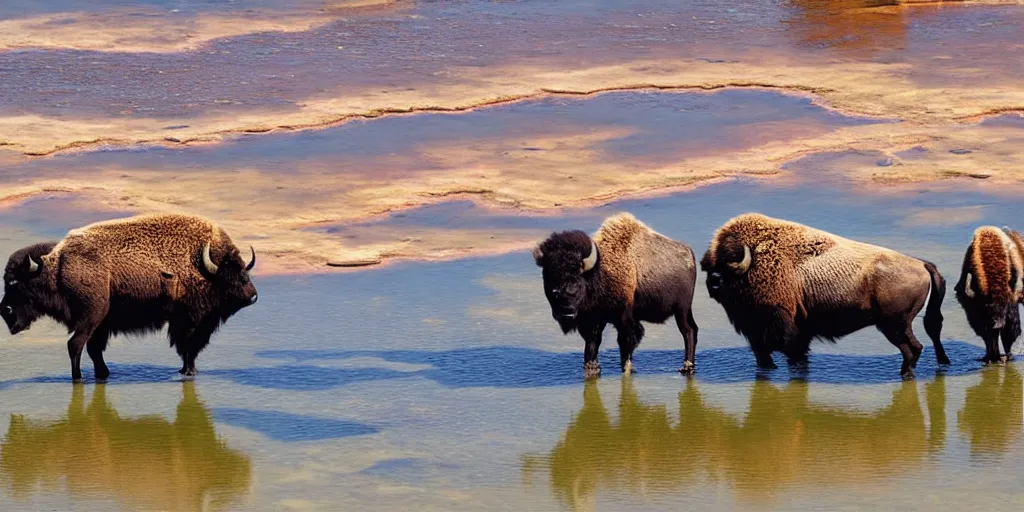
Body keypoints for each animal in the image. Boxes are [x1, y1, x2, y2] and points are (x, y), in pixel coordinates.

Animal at [1, 214, 256, 382]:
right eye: (233, 278)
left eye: (245, 273)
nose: (253, 296)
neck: (202, 265)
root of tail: (58, 258)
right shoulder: (190, 320)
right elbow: (188, 347)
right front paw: (189, 372)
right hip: (92, 317)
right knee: (76, 345)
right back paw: (79, 378)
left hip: (100, 321)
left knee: (91, 348)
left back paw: (102, 375)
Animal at [532, 210, 700, 376]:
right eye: (549, 280)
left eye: (578, 280)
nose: (566, 313)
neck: (600, 271)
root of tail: (689, 255)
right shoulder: (593, 320)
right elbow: (592, 344)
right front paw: (592, 369)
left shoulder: (624, 320)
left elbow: (625, 345)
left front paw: (626, 370)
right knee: (693, 329)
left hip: (681, 310)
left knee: (687, 331)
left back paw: (686, 368)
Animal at [700, 212, 946, 380]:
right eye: (708, 264)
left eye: (729, 258)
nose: (713, 281)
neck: (754, 261)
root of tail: (922, 265)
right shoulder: (760, 336)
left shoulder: (785, 331)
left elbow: (792, 354)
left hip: (894, 325)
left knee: (913, 349)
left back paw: (904, 375)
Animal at [950, 225, 1024, 364]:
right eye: (985, 306)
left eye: (1005, 306)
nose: (997, 324)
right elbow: (987, 336)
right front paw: (989, 358)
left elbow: (1008, 335)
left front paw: (1006, 357)